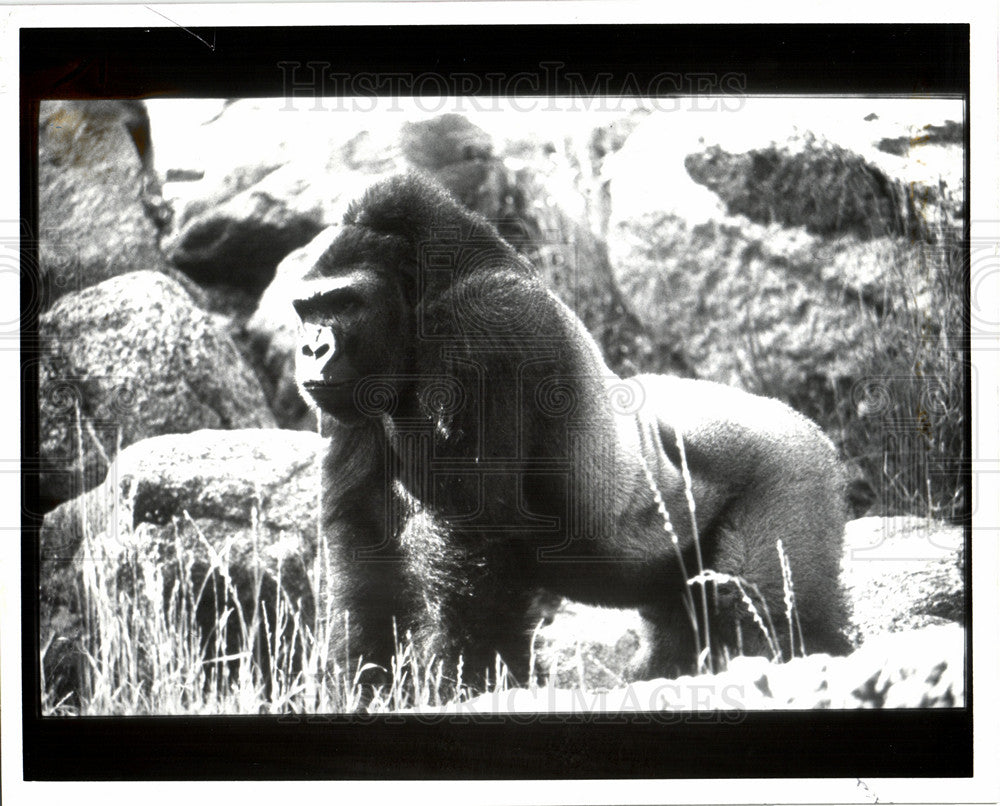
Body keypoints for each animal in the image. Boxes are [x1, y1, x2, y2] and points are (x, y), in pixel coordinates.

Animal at [292, 174, 848, 692]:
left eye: (345, 302)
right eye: (306, 310)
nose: (312, 349)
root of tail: (813, 432)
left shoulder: (483, 324)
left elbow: (472, 534)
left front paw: (470, 681)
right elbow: (364, 549)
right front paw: (365, 684)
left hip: (795, 472)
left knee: (770, 614)